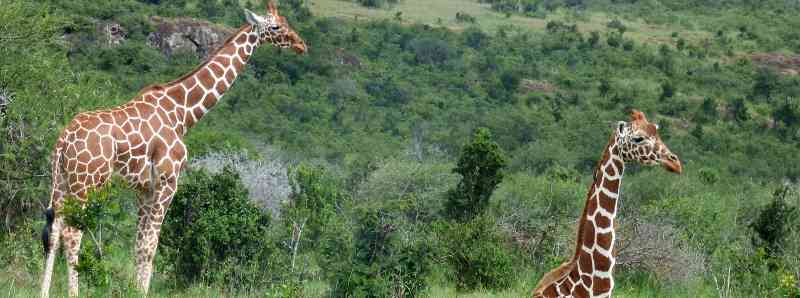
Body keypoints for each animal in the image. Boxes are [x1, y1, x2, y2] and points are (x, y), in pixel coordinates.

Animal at [38, 3, 306, 296]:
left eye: (285, 21)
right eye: (276, 27)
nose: (301, 44)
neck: (182, 113)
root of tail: (63, 140)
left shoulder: (144, 189)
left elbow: (139, 246)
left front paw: (134, 289)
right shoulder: (168, 182)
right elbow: (150, 246)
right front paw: (140, 291)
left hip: (62, 182)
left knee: (54, 230)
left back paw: (43, 291)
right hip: (87, 183)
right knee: (72, 233)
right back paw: (73, 291)